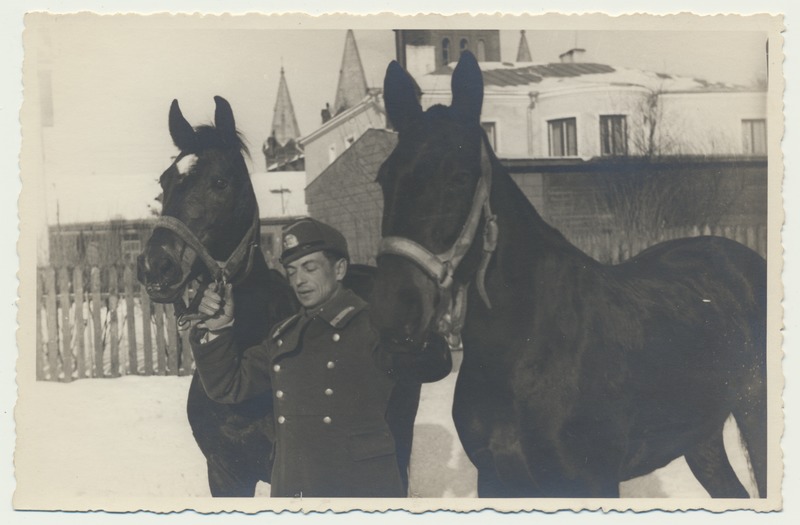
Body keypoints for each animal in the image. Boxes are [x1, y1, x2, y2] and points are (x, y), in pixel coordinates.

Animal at [370, 51, 768, 498]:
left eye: (459, 177)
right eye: (383, 178)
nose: (392, 312)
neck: (525, 345)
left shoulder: (591, 482)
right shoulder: (495, 479)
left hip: (755, 416)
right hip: (700, 437)